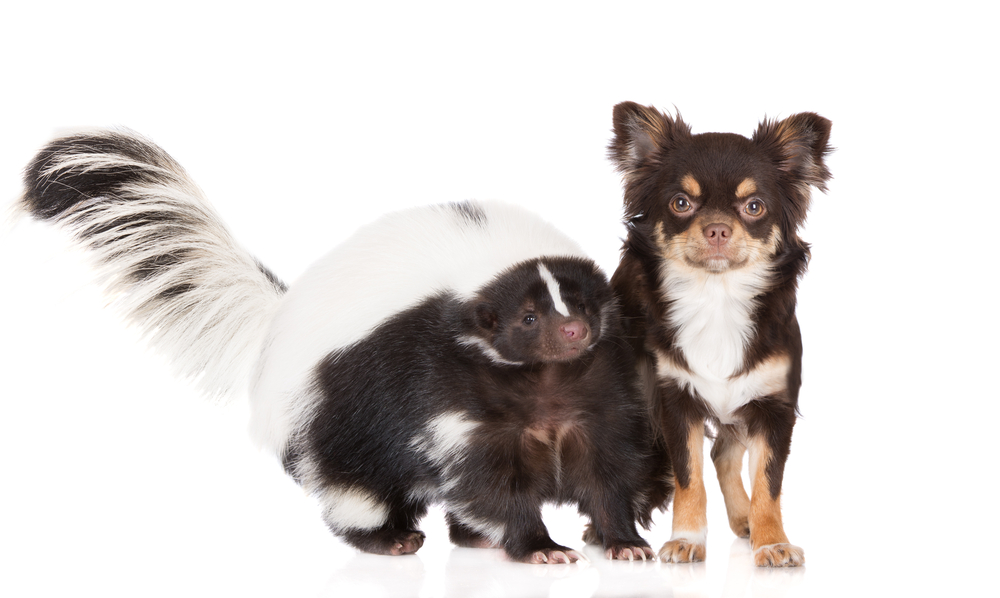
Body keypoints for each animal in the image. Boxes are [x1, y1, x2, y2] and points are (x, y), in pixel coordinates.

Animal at [17, 131, 672, 568]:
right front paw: (538, 546)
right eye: (529, 318)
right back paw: (390, 538)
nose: (573, 332)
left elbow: (608, 461)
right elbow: (486, 474)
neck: (539, 380)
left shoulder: (597, 392)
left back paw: (469, 536)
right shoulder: (443, 387)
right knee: (355, 485)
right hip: (335, 410)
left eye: (582, 304)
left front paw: (623, 541)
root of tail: (278, 321)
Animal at [604, 102, 832, 568]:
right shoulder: (675, 400)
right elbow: (688, 476)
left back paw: (746, 521)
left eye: (754, 206)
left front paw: (772, 540)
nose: (717, 229)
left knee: (724, 453)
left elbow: (768, 482)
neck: (717, 296)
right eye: (681, 202)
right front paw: (687, 538)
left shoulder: (772, 405)